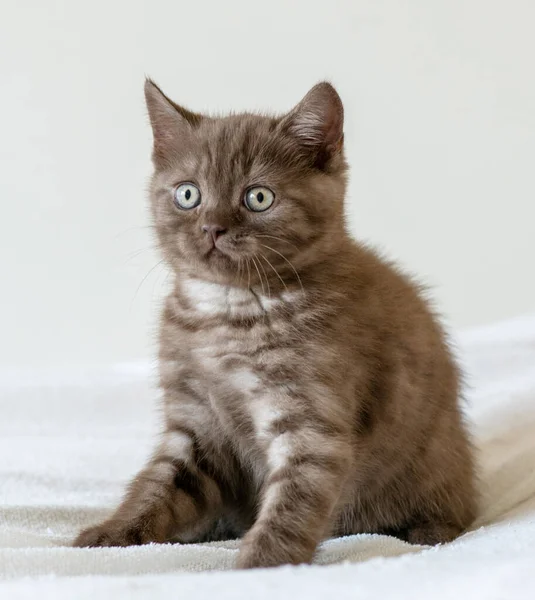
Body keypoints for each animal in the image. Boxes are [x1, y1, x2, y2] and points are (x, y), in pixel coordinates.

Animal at [74, 79, 478, 568]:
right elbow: (159, 484)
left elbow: (296, 496)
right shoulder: (195, 420)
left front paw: (262, 562)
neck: (229, 311)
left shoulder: (310, 419)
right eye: (188, 194)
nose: (212, 227)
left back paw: (427, 530)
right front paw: (114, 533)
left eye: (258, 197)